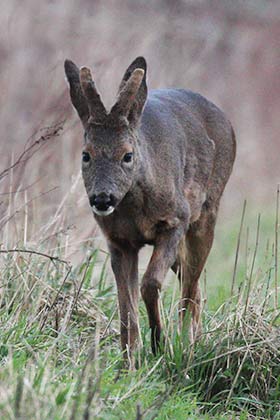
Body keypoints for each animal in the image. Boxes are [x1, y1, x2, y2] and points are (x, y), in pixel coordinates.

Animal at [64, 55, 236, 358]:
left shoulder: (176, 220)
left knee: (191, 286)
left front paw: (159, 344)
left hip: (206, 213)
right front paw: (129, 359)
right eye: (86, 155)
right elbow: (125, 305)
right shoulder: (118, 241)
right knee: (194, 285)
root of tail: (228, 123)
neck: (135, 215)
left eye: (127, 155)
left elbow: (151, 283)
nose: (102, 198)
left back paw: (187, 346)